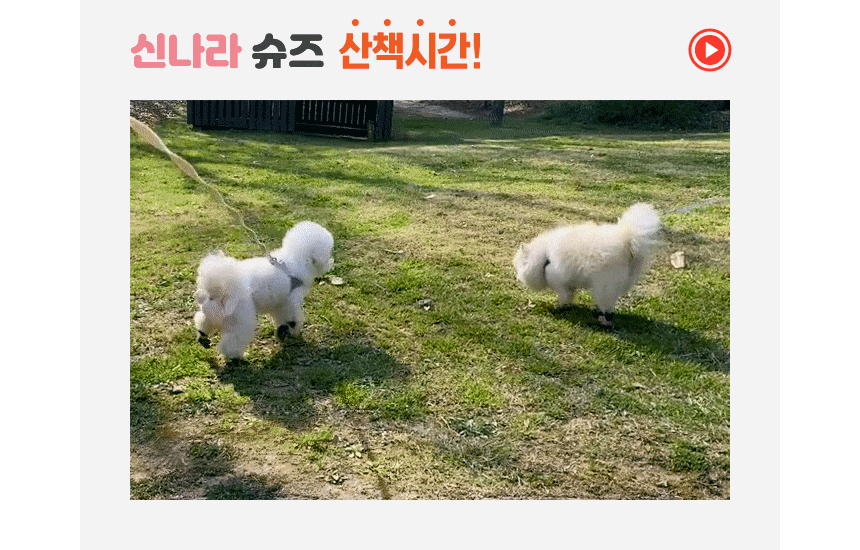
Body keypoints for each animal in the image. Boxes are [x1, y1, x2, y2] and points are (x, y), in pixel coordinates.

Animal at [193, 221, 334, 360]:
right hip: (240, 317)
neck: (297, 258)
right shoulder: (290, 300)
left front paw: (282, 331)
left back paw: (202, 336)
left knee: (204, 319)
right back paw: (234, 357)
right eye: (328, 254)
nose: (331, 262)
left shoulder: (279, 304)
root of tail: (219, 289)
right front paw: (291, 330)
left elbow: (282, 319)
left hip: (215, 310)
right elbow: (293, 318)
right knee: (232, 340)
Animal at [513, 203, 660, 327]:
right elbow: (570, 296)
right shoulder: (570, 283)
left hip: (604, 285)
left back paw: (603, 320)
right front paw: (567, 306)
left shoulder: (560, 282)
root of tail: (627, 241)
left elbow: (564, 296)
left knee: (607, 308)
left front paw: (559, 307)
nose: (516, 277)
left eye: (519, 266)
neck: (545, 258)